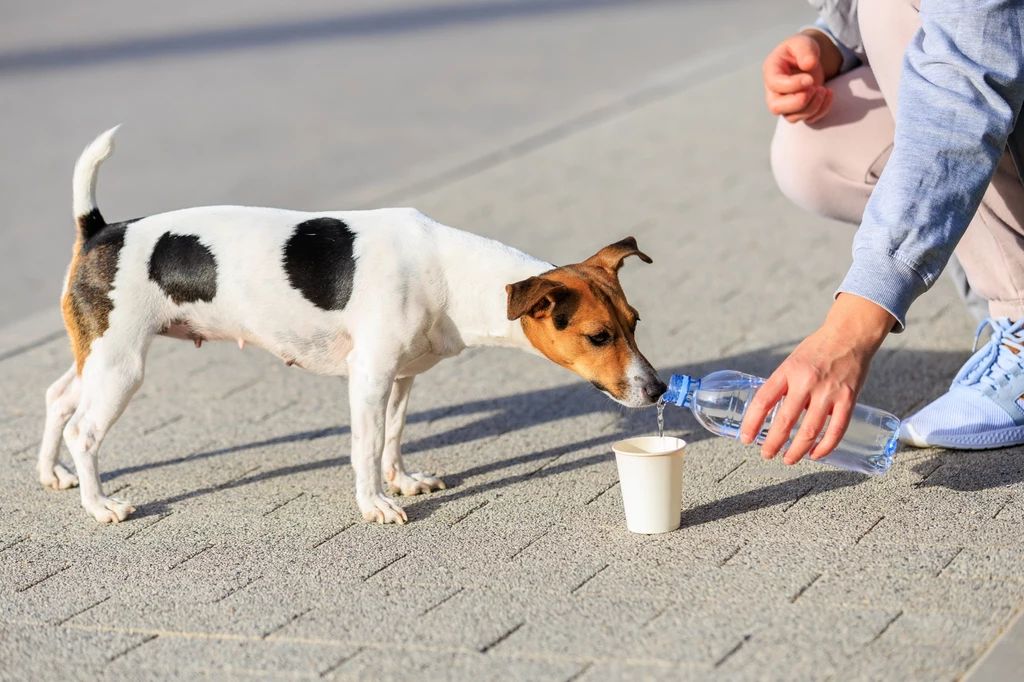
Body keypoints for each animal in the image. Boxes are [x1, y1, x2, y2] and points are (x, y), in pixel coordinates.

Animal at [37, 125, 663, 520]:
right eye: (599, 336)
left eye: (636, 323)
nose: (657, 390)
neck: (450, 272)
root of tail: (100, 229)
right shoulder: (369, 378)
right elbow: (366, 447)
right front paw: (376, 504)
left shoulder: (402, 378)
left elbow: (394, 437)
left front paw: (402, 482)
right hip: (122, 367)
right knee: (82, 430)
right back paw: (99, 505)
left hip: (97, 357)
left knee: (58, 397)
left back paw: (52, 475)